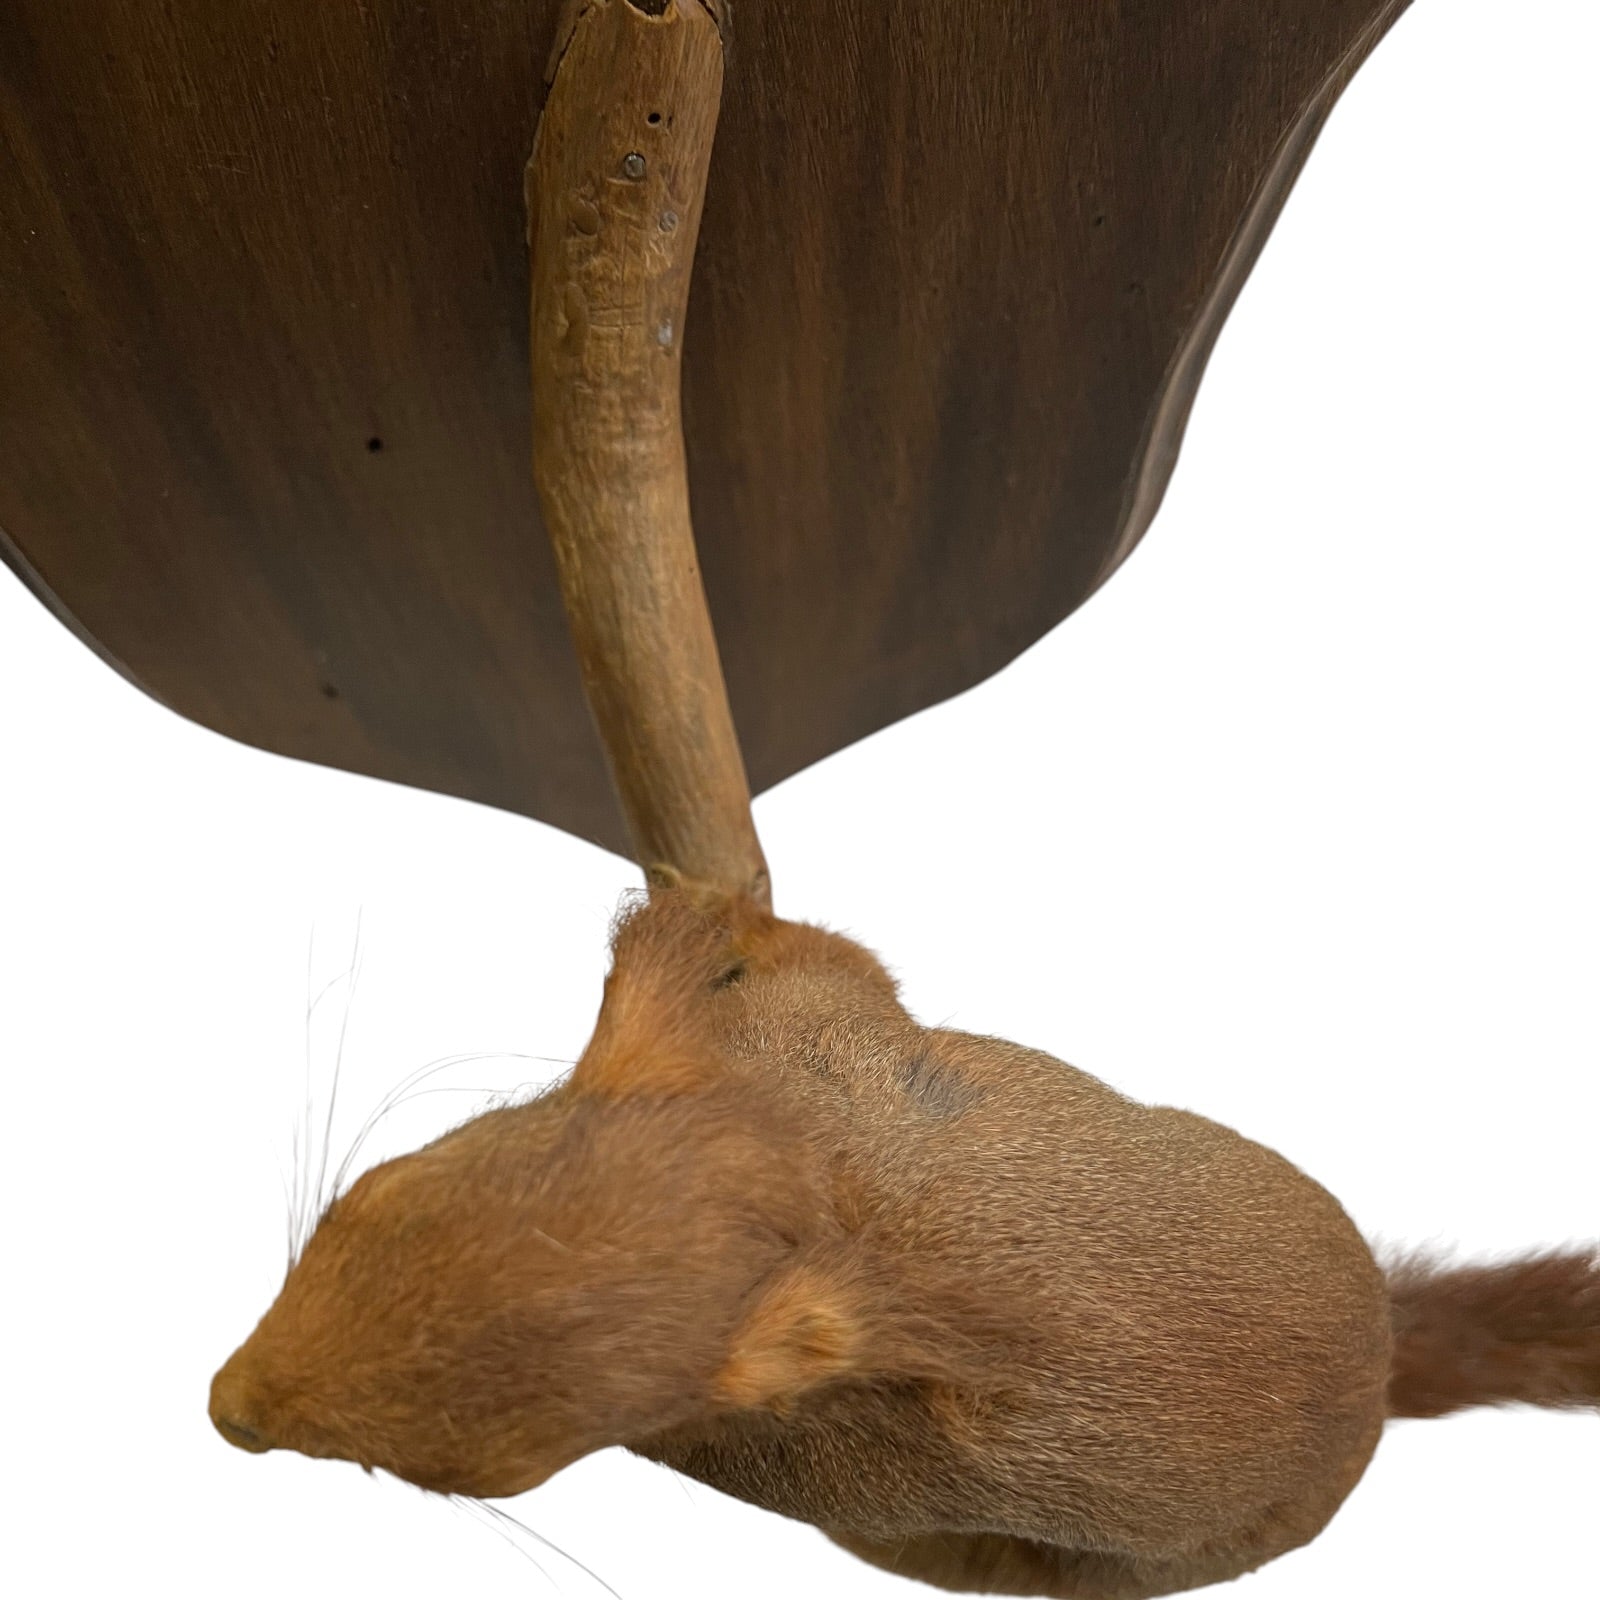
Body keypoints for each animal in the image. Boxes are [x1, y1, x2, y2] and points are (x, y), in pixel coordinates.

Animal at [210, 889, 1599, 1598]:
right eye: (366, 1200)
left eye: (485, 1477)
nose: (229, 1409)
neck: (812, 1184)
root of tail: (1386, 1367)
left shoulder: (831, 1035)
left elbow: (815, 962)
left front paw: (695, 910)